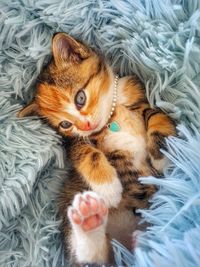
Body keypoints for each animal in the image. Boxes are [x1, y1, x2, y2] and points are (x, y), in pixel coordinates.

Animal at [18, 32, 175, 266]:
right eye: (65, 124)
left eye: (80, 98)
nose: (85, 126)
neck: (111, 117)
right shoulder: (74, 142)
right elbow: (86, 153)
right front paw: (109, 188)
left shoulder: (139, 96)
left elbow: (156, 115)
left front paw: (163, 154)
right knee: (93, 256)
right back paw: (89, 219)